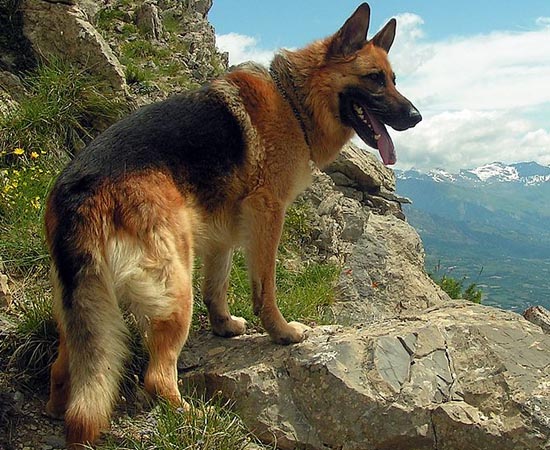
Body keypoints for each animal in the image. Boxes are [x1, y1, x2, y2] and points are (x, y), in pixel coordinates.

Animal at [45, 2, 422, 446]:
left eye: (394, 80)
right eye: (374, 79)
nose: (416, 117)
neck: (294, 100)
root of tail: (80, 190)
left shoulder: (222, 232)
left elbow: (218, 285)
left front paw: (224, 325)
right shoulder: (267, 213)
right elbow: (265, 288)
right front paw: (281, 332)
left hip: (87, 306)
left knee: (67, 369)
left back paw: (58, 410)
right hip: (175, 287)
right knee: (156, 377)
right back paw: (193, 416)